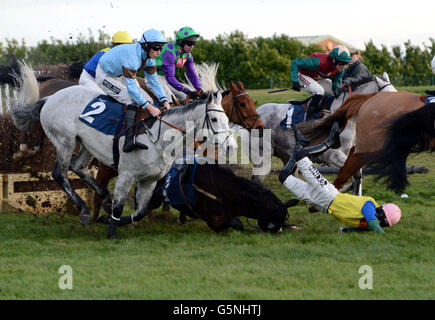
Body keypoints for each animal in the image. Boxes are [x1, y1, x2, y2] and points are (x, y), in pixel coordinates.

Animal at [249, 74, 398, 194]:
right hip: (263, 155)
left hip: (286, 155)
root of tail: (256, 112)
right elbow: (356, 175)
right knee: (258, 178)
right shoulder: (332, 155)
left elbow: (357, 176)